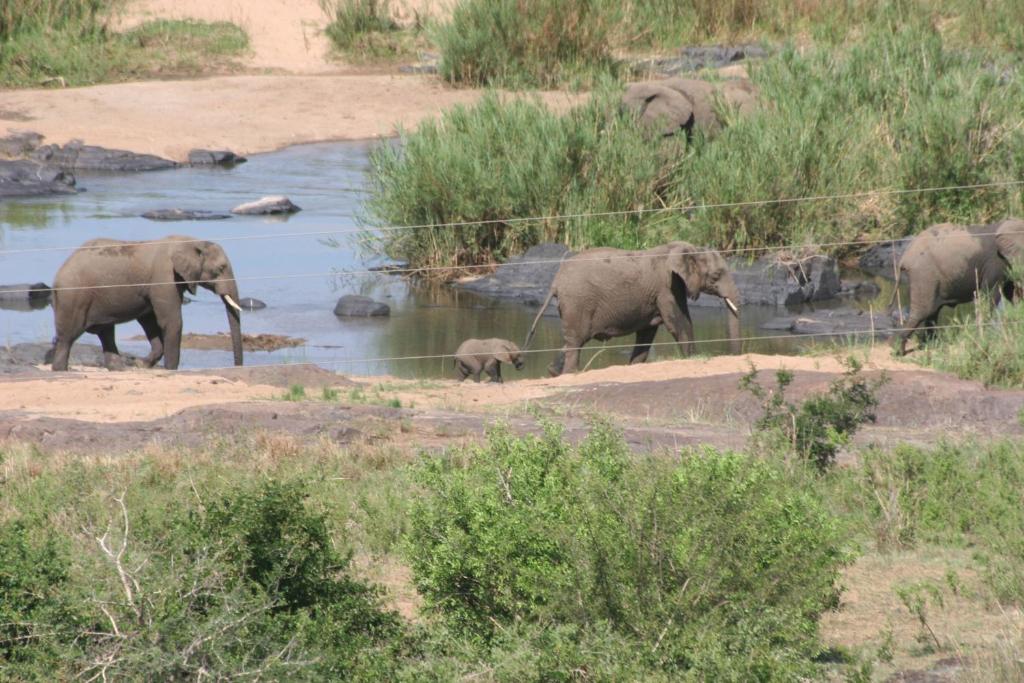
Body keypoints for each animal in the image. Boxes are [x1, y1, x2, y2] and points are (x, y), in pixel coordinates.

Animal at [50, 236, 244, 374]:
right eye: (220, 268)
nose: (237, 366)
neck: (191, 241)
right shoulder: (164, 278)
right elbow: (171, 321)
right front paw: (171, 370)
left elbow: (149, 321)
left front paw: (140, 364)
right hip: (73, 297)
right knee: (68, 336)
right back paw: (60, 370)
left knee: (106, 333)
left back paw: (120, 369)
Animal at [524, 242, 741, 376]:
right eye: (715, 276)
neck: (691, 249)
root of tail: (555, 282)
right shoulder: (667, 287)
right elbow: (679, 323)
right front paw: (692, 358)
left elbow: (647, 332)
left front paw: (634, 366)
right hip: (577, 302)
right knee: (577, 341)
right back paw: (570, 373)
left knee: (573, 340)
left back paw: (554, 372)